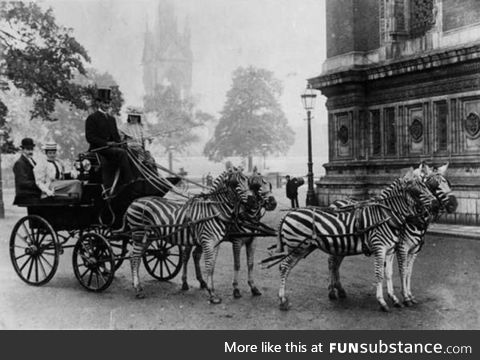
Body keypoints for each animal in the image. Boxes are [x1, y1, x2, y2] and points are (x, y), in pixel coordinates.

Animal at [125, 167, 256, 302]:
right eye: (235, 183)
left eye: (247, 181)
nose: (252, 200)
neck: (214, 211)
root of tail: (134, 201)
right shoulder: (208, 242)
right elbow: (208, 266)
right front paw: (212, 294)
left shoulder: (216, 244)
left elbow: (212, 267)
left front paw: (212, 291)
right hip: (139, 235)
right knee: (134, 257)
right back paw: (138, 289)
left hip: (148, 238)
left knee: (135, 257)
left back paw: (137, 285)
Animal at [262, 169, 438, 312]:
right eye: (415, 190)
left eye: (427, 186)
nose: (435, 203)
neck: (385, 215)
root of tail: (287, 214)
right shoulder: (381, 248)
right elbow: (380, 274)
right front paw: (382, 302)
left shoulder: (390, 250)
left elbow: (389, 273)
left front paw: (395, 299)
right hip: (297, 247)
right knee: (284, 267)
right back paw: (282, 300)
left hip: (308, 248)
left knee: (320, 264)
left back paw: (331, 292)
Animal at [386, 163, 458, 306]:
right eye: (434, 185)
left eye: (449, 183)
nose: (454, 205)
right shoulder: (402, 248)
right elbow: (403, 270)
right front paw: (406, 297)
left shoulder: (414, 250)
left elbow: (409, 272)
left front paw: (409, 295)